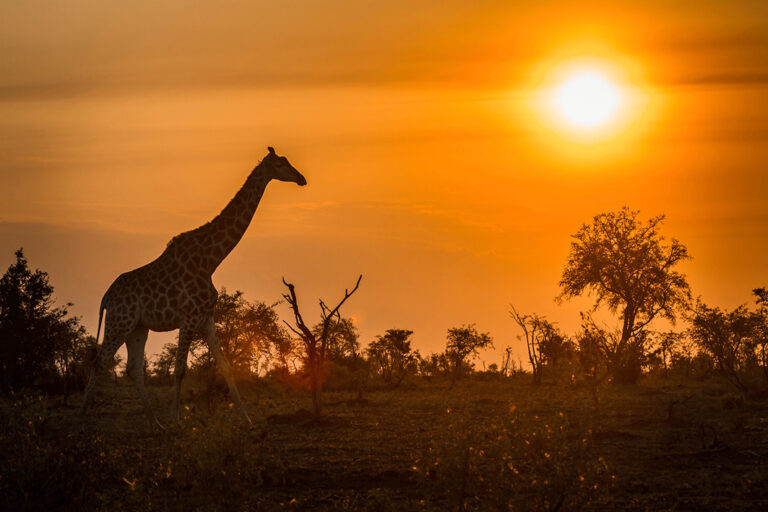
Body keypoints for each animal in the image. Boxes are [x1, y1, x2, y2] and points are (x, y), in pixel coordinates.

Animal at [79, 146, 304, 426]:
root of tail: (106, 297)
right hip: (120, 321)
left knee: (133, 369)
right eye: (282, 164)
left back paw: (156, 423)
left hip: (137, 327)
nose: (302, 179)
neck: (211, 260)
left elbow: (226, 367)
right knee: (100, 362)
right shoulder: (188, 317)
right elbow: (179, 370)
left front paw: (247, 420)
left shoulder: (205, 317)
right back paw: (82, 417)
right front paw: (176, 420)